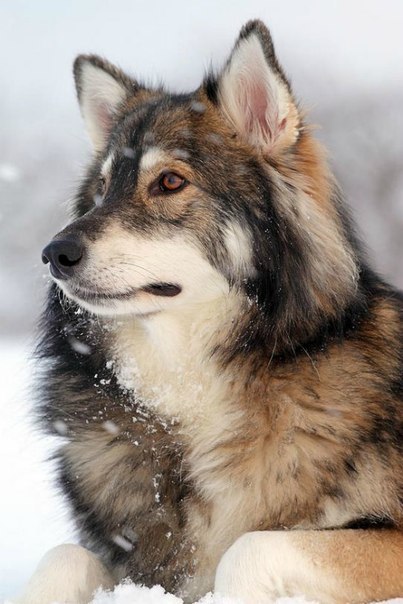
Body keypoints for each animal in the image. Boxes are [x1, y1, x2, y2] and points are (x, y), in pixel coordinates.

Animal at [15, 18, 403, 604]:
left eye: (170, 181)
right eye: (102, 190)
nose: (54, 253)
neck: (197, 385)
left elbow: (248, 549)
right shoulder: (145, 564)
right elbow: (62, 557)